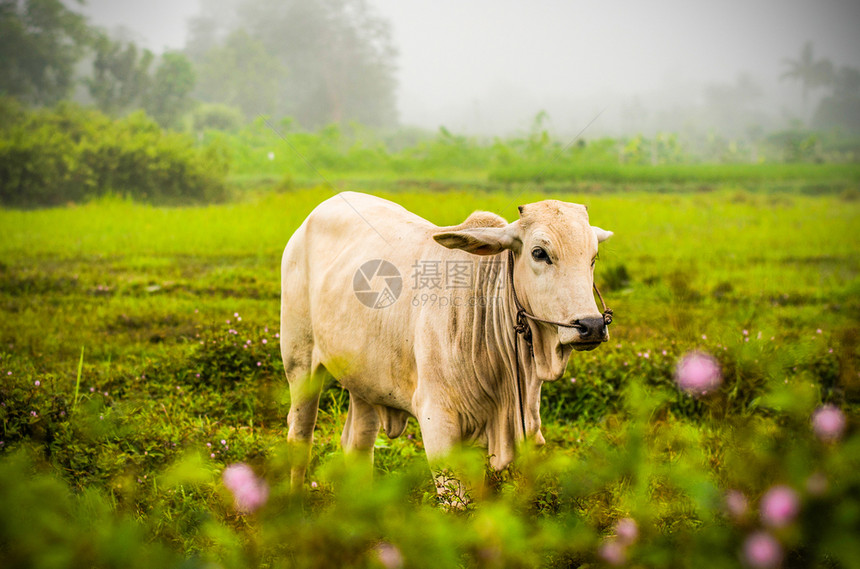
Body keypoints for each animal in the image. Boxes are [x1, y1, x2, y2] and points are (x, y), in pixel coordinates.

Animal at [280, 192, 612, 488]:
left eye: (593, 257)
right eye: (539, 253)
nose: (591, 325)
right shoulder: (438, 424)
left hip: (364, 380)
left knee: (357, 444)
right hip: (299, 363)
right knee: (300, 437)